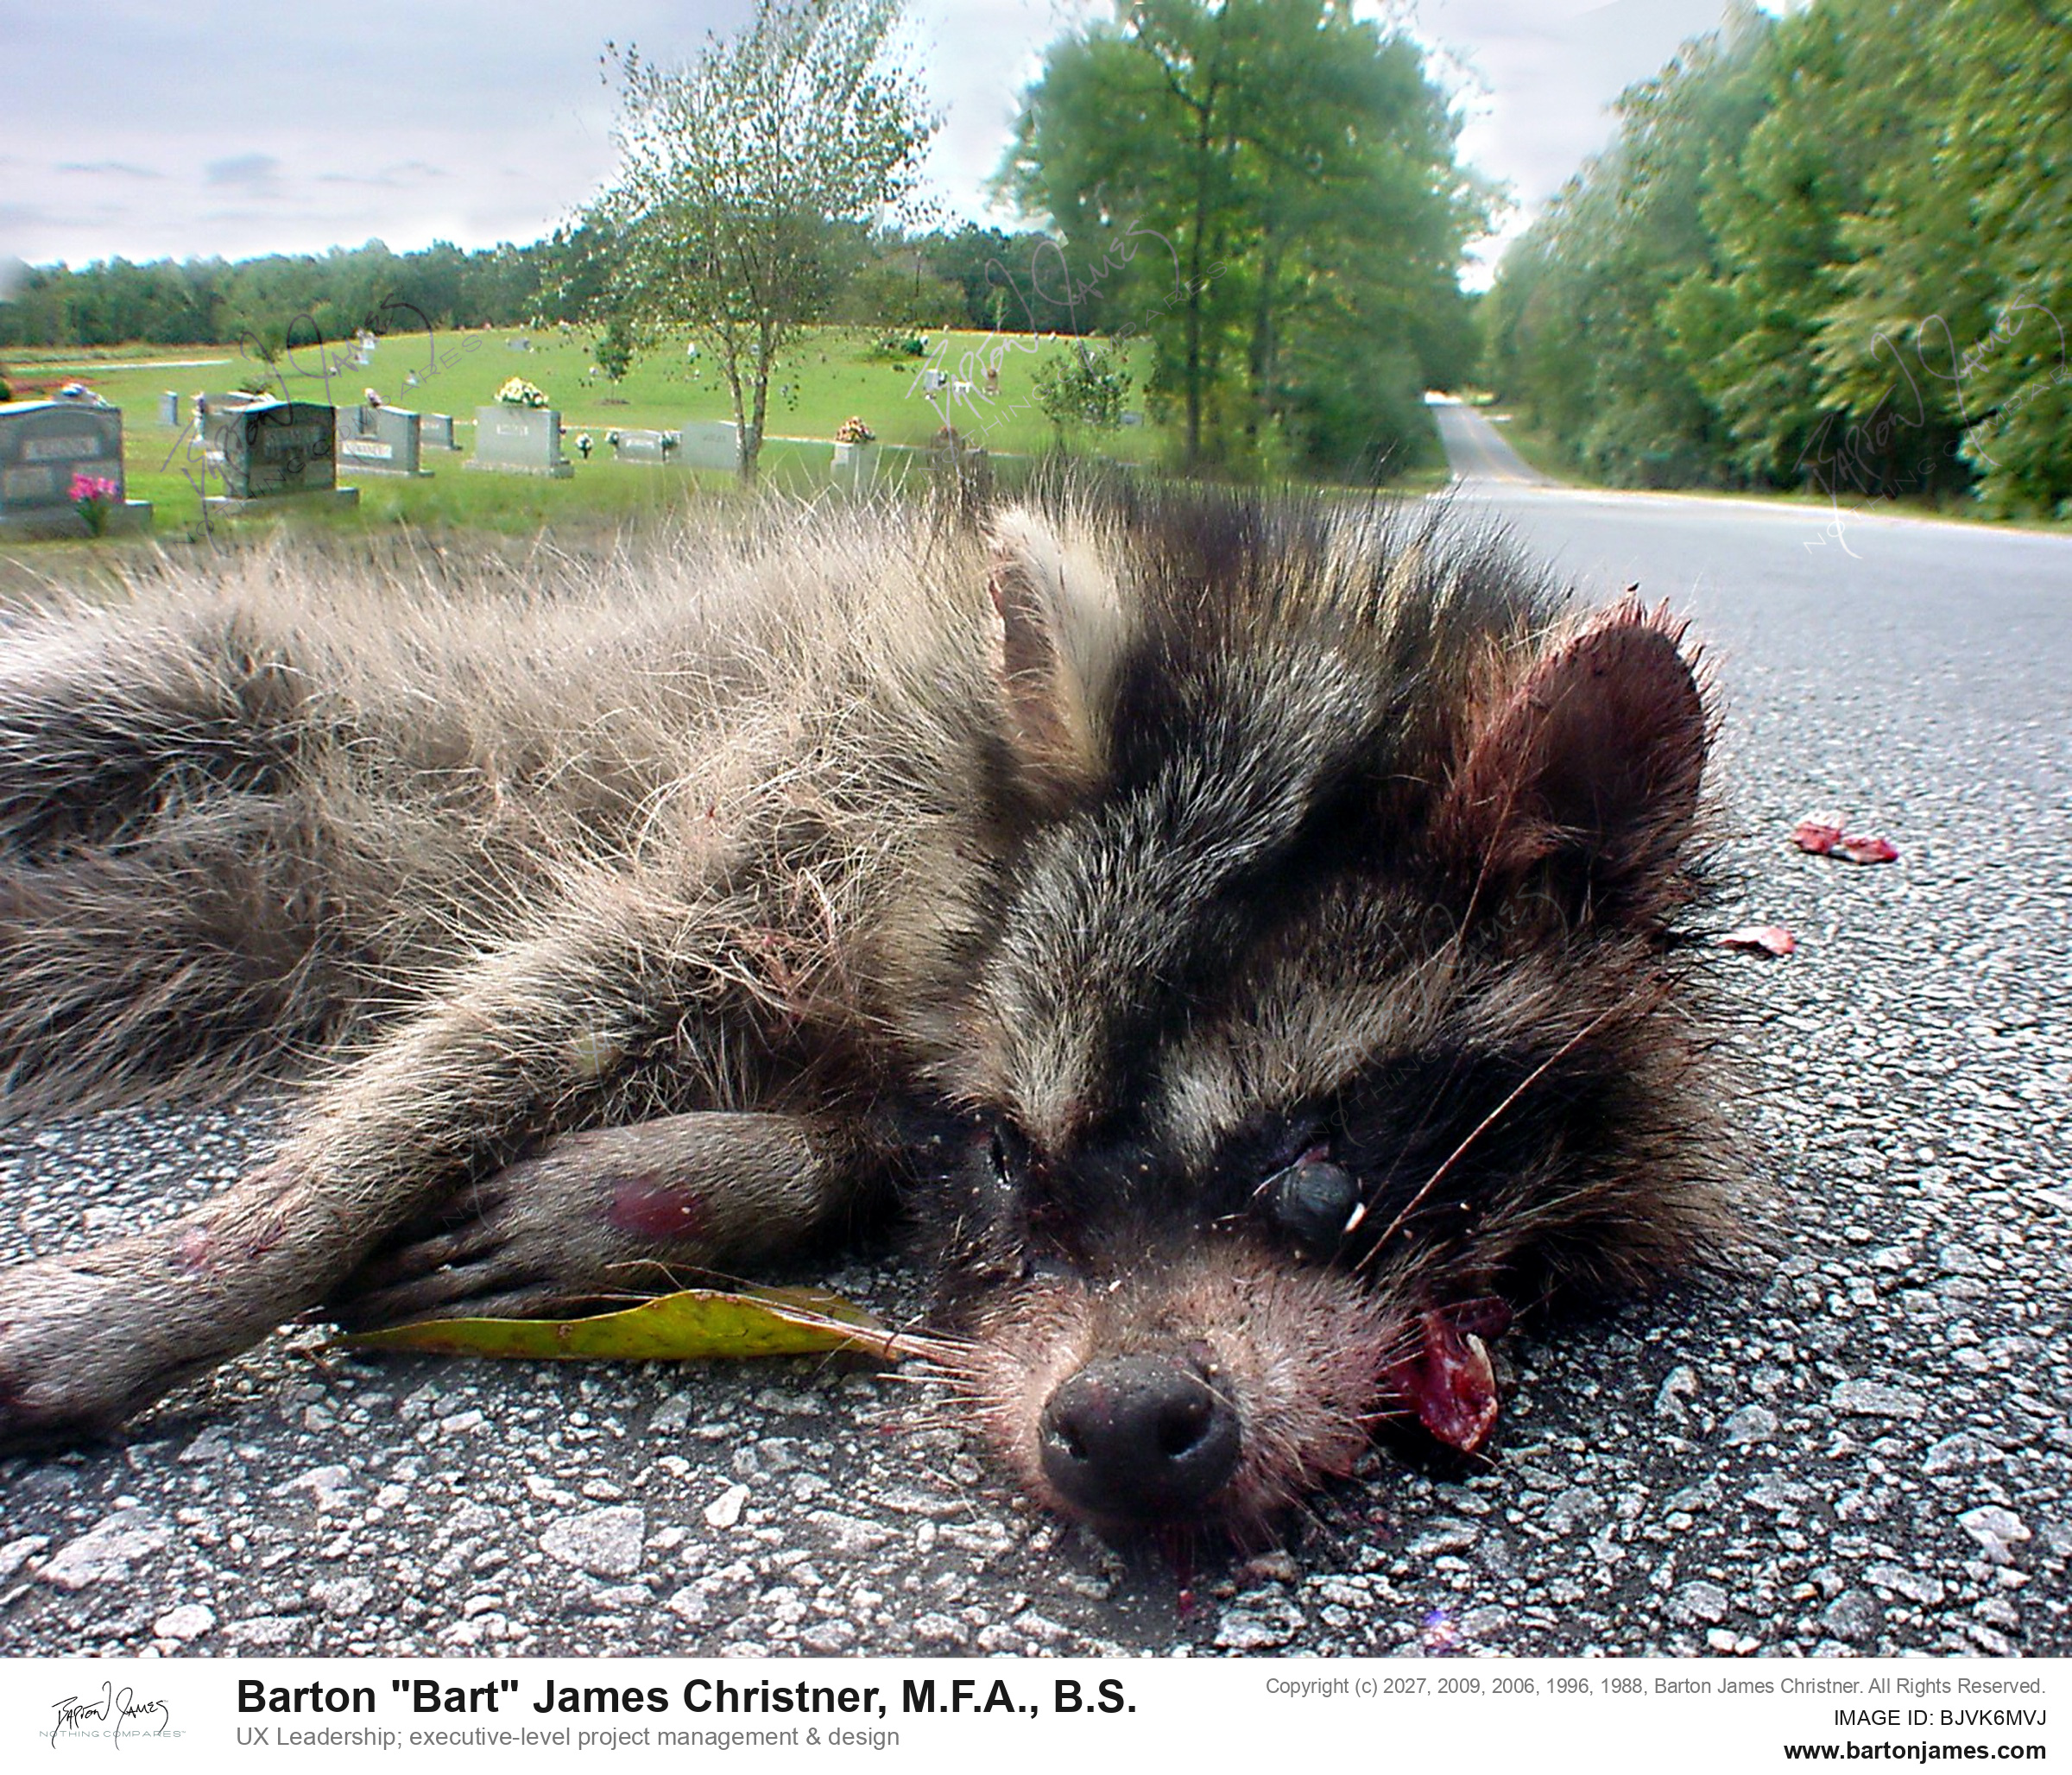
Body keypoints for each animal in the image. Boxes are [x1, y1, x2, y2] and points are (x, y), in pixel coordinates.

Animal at [0, 485, 1730, 1534]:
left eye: (1323, 1165)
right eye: (1015, 1157)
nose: (1123, 1424)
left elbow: (825, 1129)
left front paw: (687, 1182)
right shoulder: (807, 790)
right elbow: (561, 981)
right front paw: (231, 1250)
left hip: (225, 911)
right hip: (287, 693)